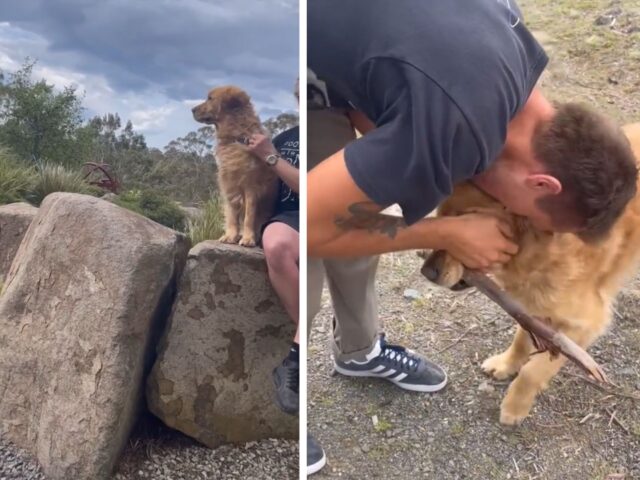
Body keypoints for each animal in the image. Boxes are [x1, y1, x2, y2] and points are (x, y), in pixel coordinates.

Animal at [192, 85, 278, 248]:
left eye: (210, 98)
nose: (192, 109)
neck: (235, 137)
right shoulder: (228, 185)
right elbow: (232, 216)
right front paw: (230, 236)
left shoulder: (251, 187)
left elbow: (249, 217)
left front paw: (248, 238)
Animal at [424, 123, 640, 424]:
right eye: (441, 218)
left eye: (465, 227)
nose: (426, 271)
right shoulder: (533, 305)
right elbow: (520, 339)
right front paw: (506, 364)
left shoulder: (584, 326)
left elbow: (533, 371)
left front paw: (515, 406)